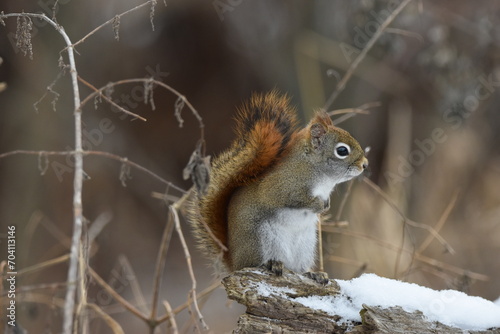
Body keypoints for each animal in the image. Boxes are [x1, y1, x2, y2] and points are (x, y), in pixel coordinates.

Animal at [189, 90, 370, 276]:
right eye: (342, 150)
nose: (365, 164)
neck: (320, 176)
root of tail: (234, 263)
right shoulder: (282, 186)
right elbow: (292, 199)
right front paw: (317, 204)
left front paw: (326, 204)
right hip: (260, 240)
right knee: (257, 262)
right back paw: (271, 264)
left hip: (305, 246)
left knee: (298, 268)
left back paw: (312, 274)